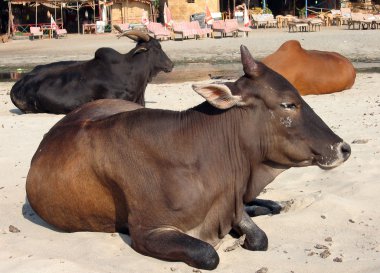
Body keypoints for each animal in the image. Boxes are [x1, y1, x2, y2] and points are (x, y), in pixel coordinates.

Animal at [26, 44, 350, 268]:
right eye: (288, 104)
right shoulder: (147, 231)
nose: (343, 148)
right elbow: (209, 255)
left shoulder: (231, 200)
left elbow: (258, 236)